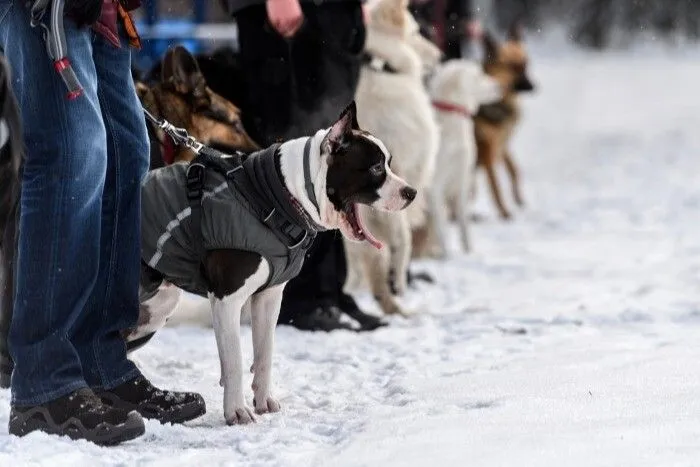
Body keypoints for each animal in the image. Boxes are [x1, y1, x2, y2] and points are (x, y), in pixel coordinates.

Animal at [131, 104, 416, 426]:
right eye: (376, 168)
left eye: (388, 163)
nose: (411, 192)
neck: (279, 196)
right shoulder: (227, 299)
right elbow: (234, 359)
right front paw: (236, 411)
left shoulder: (269, 296)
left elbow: (265, 352)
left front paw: (264, 401)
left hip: (155, 307)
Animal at [476, 24, 536, 222]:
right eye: (512, 67)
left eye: (526, 64)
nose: (533, 87)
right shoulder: (489, 151)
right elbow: (496, 186)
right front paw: (504, 212)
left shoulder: (502, 146)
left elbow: (514, 170)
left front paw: (518, 198)